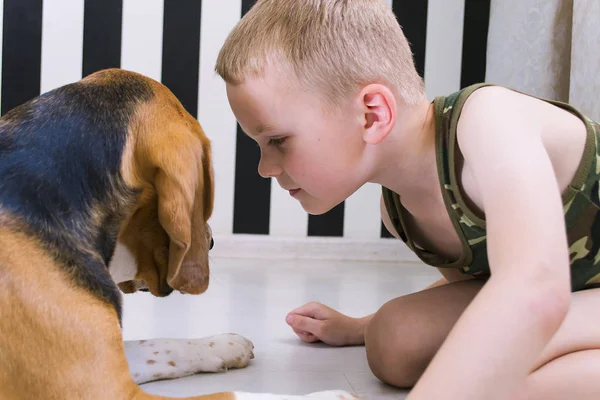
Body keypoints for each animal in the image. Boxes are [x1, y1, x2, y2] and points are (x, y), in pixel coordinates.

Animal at [0, 69, 356, 400]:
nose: (210, 242)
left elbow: (158, 345)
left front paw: (221, 344)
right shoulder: (105, 390)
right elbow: (231, 395)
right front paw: (332, 395)